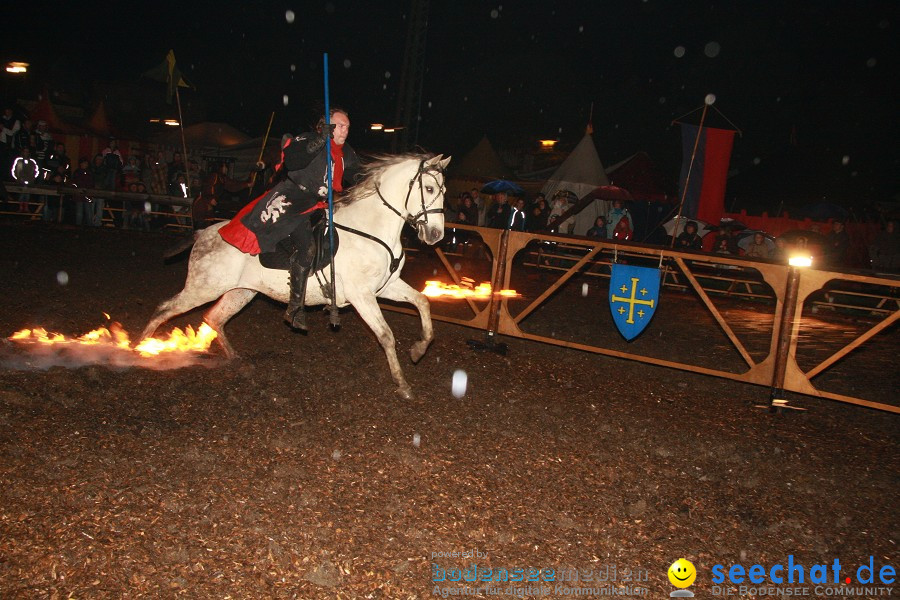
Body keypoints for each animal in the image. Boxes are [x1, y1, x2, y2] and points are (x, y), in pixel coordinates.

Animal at [145, 155, 454, 398]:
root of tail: (202, 233)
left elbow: (423, 302)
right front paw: (402, 383)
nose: (435, 235)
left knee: (214, 318)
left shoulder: (386, 287)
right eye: (429, 188)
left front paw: (419, 349)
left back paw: (237, 362)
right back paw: (142, 352)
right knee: (164, 309)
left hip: (240, 292)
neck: (371, 229)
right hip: (203, 287)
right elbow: (386, 335)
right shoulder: (362, 295)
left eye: (444, 190)